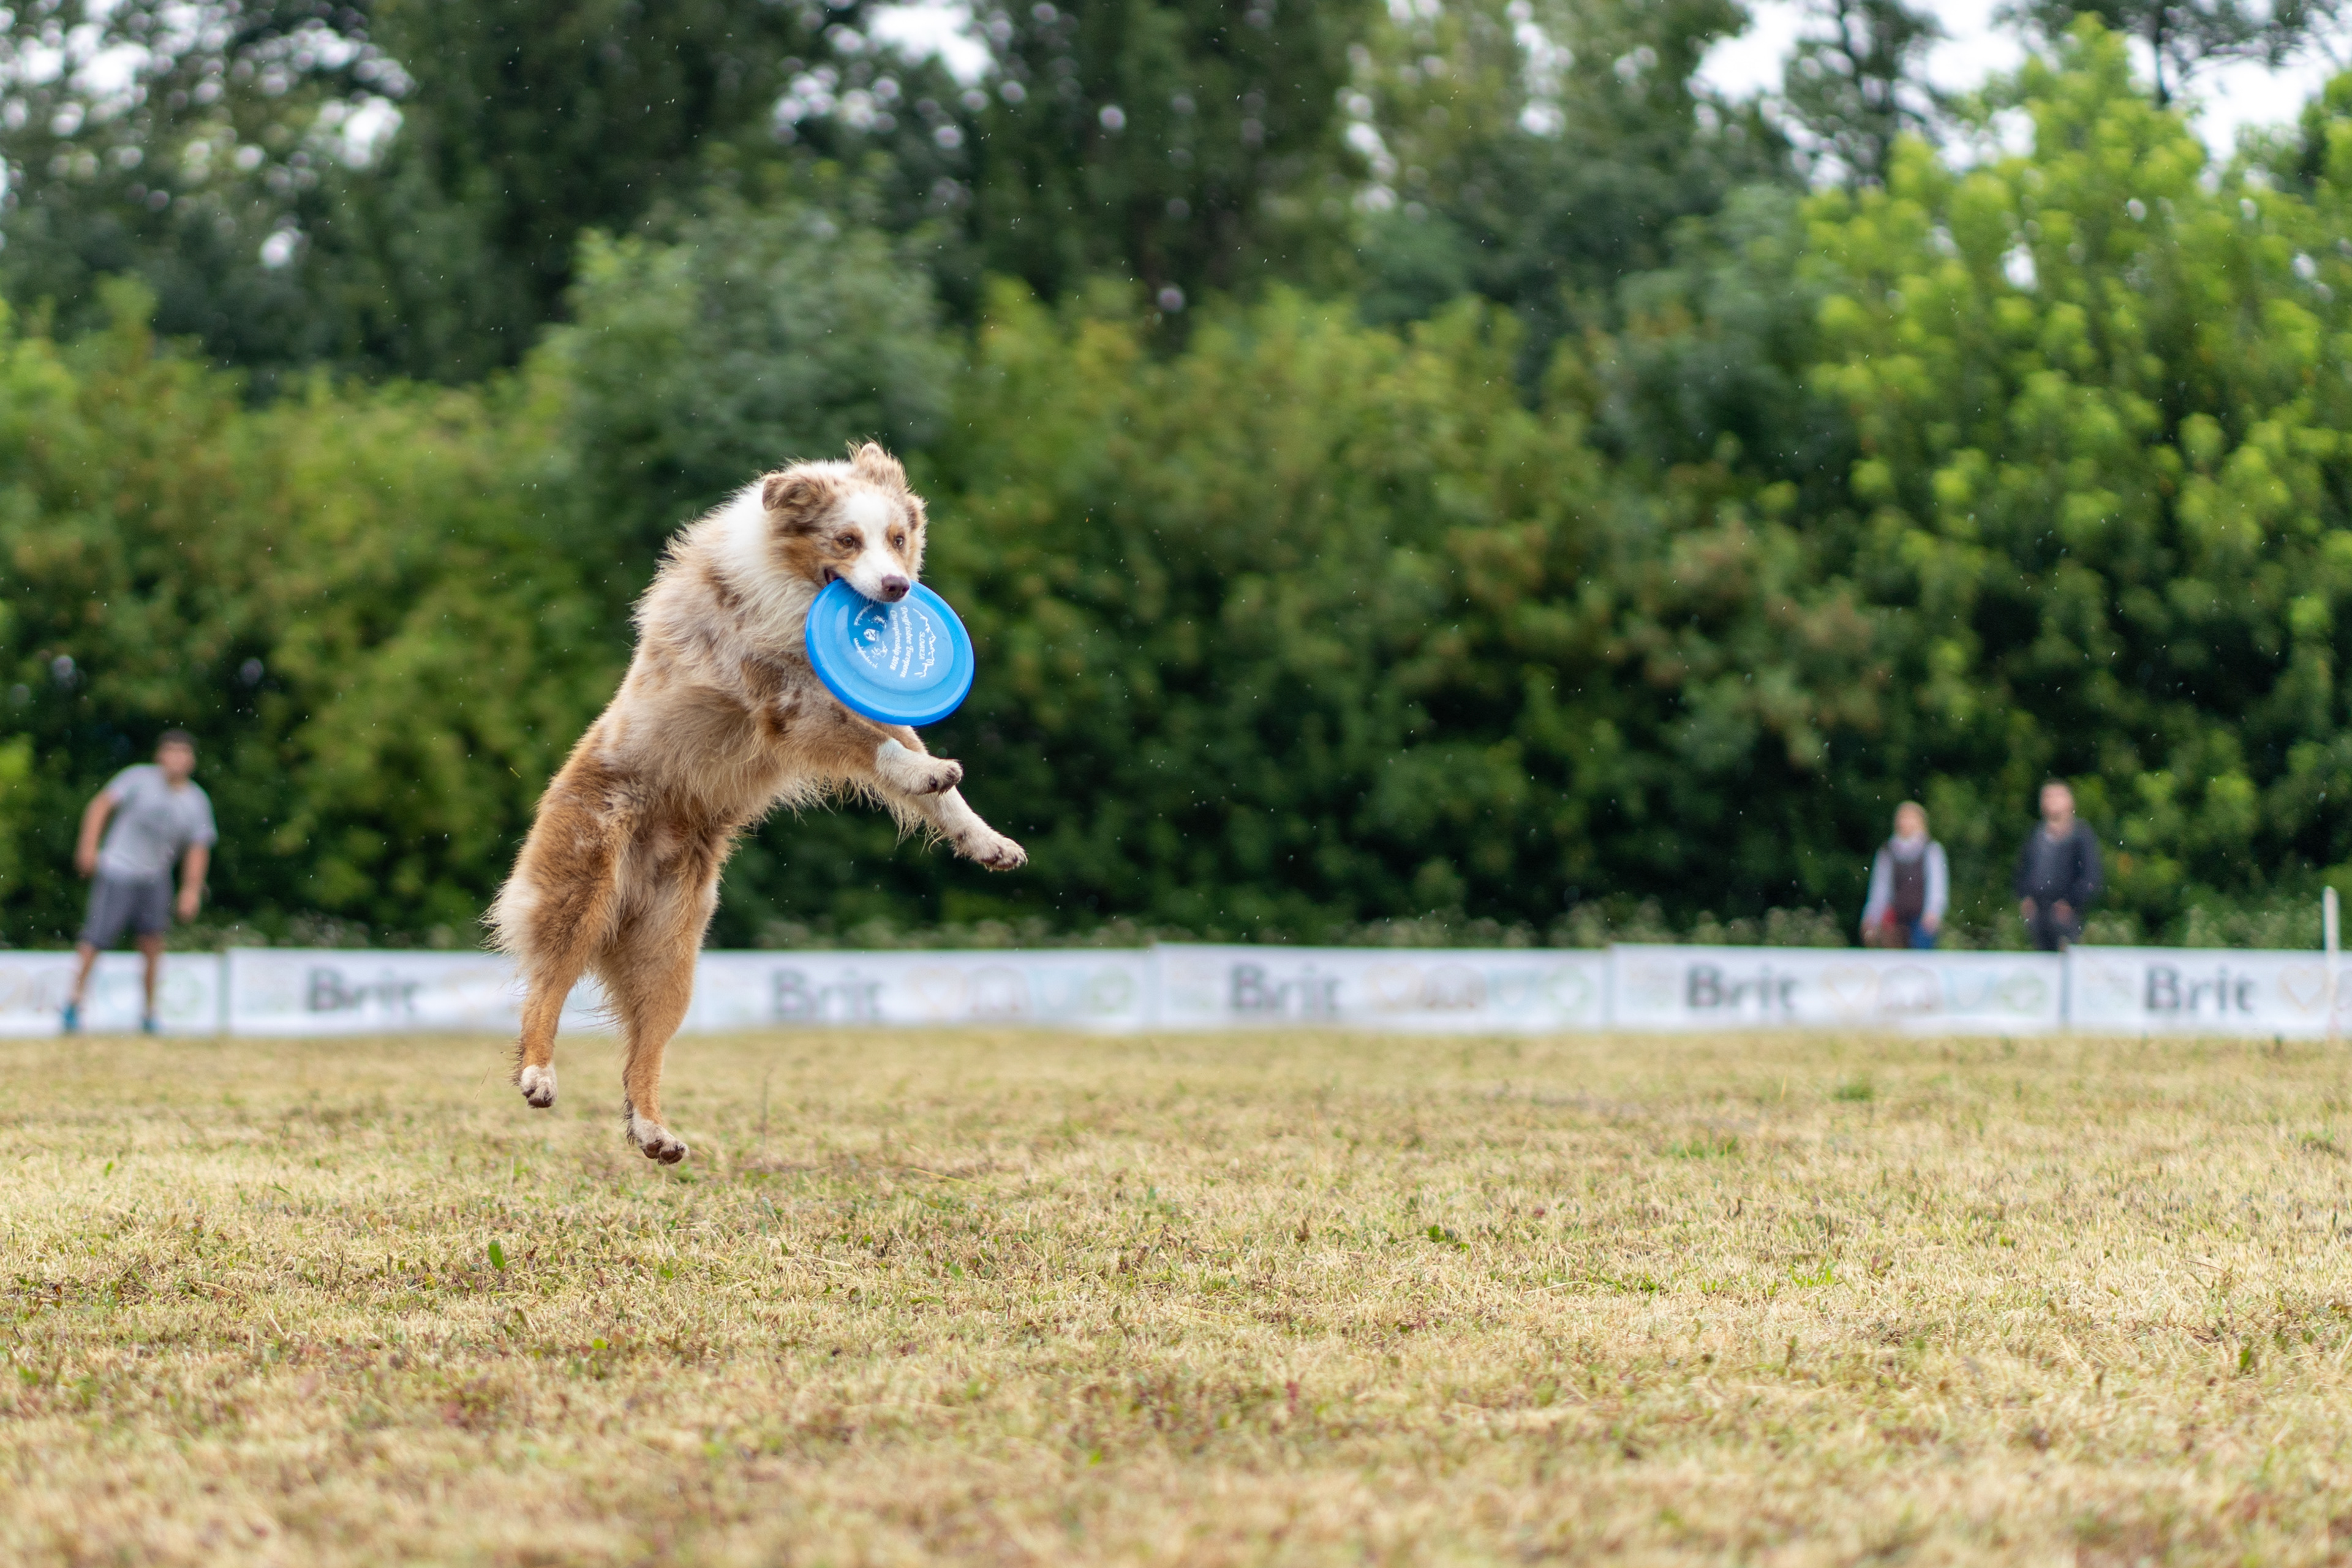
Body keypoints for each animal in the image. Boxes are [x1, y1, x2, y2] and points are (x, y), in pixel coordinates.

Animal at [488, 443, 1026, 1164]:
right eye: (846, 540)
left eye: (897, 539)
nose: (897, 590)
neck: (792, 597)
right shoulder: (786, 706)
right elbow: (880, 748)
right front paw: (926, 770)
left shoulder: (842, 704)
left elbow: (927, 778)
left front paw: (986, 838)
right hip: (582, 889)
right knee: (546, 984)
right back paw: (538, 1072)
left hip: (671, 952)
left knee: (644, 1050)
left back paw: (653, 1131)